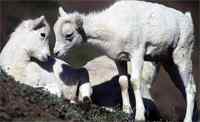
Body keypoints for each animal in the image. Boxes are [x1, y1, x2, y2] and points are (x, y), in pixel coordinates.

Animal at [52, 0, 196, 121]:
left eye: (69, 35)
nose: (56, 52)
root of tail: (187, 18)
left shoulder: (137, 55)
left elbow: (135, 81)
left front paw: (139, 116)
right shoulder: (119, 59)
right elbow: (123, 82)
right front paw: (127, 111)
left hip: (182, 56)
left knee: (190, 88)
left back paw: (187, 119)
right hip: (169, 63)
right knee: (184, 87)